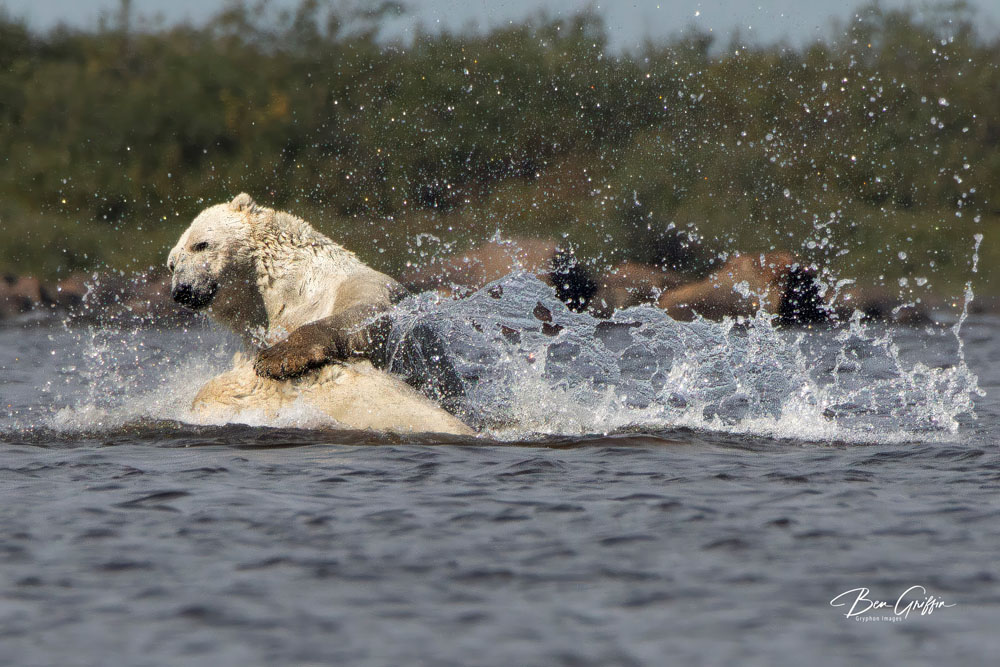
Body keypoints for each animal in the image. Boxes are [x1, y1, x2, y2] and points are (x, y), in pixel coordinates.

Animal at [168, 193, 472, 436]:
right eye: (172, 264)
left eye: (201, 244)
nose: (182, 290)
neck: (287, 291)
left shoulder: (346, 284)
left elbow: (364, 315)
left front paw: (280, 357)